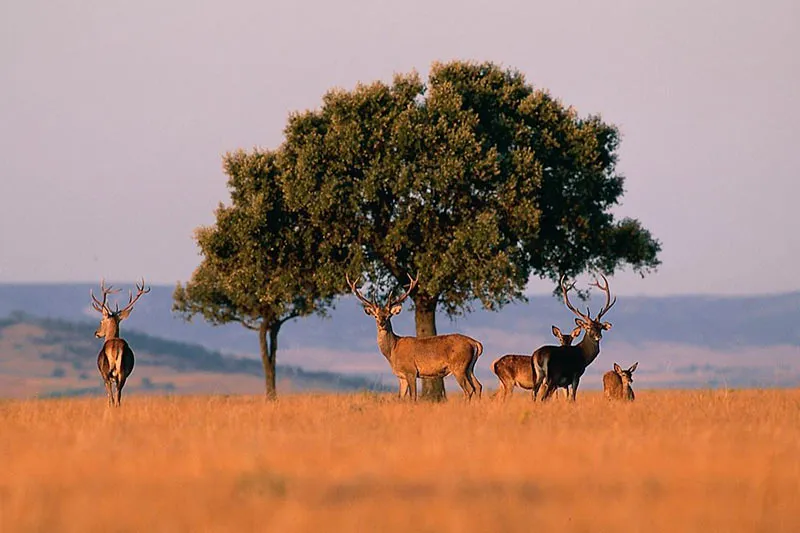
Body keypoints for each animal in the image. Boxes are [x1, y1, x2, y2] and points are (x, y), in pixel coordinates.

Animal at [90, 278, 150, 407]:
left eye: (101, 321)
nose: (96, 333)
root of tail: (114, 347)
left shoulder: (104, 375)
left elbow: (109, 397)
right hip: (123, 373)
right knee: (118, 396)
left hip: (107, 373)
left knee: (112, 397)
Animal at [347, 273, 483, 401]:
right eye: (375, 316)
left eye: (389, 315)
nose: (381, 323)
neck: (392, 351)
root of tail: (475, 343)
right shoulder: (401, 376)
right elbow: (400, 397)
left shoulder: (411, 371)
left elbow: (413, 397)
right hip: (469, 368)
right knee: (478, 386)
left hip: (459, 366)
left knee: (469, 389)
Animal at [531, 273, 616, 402]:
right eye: (588, 327)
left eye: (601, 327)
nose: (598, 336)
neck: (584, 357)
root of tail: (537, 356)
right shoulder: (576, 375)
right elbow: (573, 398)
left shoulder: (565, 383)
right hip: (552, 377)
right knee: (543, 398)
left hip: (538, 378)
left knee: (534, 396)